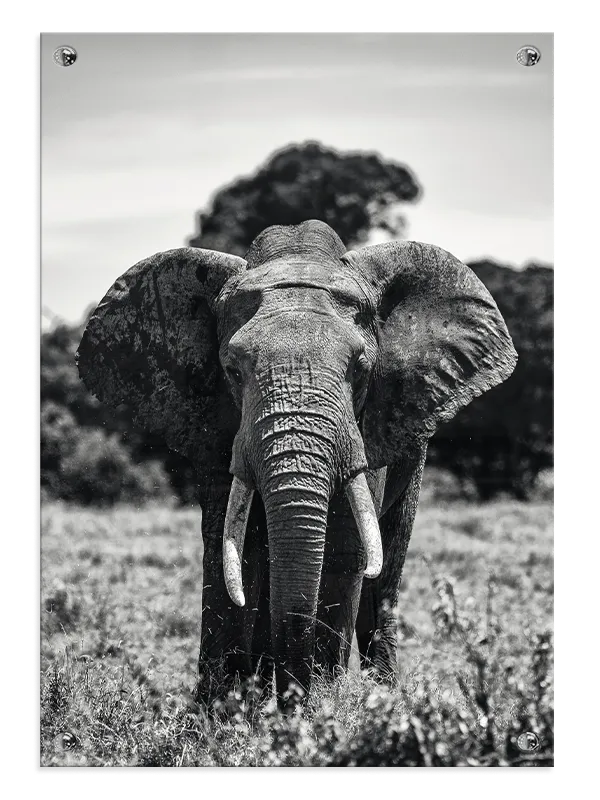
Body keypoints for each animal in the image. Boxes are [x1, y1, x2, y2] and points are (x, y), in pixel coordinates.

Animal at [76, 220, 517, 706]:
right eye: (232, 371)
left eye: (360, 368)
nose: (292, 694)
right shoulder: (220, 425)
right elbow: (235, 543)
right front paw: (223, 707)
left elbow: (346, 544)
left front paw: (320, 705)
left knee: (388, 562)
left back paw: (382, 695)